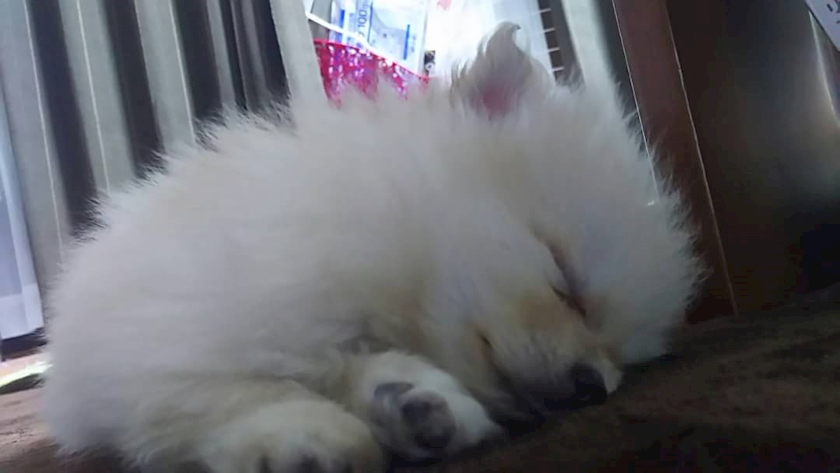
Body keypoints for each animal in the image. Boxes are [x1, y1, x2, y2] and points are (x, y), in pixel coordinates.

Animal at [41, 23, 703, 472]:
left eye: (621, 356)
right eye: (565, 280)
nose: (592, 386)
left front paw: (422, 407)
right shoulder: (159, 339)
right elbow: (233, 393)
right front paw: (306, 436)